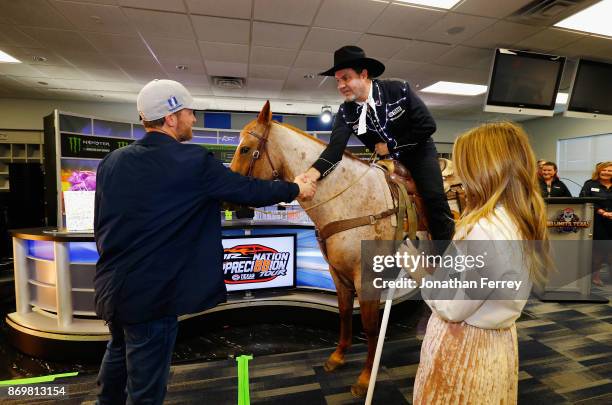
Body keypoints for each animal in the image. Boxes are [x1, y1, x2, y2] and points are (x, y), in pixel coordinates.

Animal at [230, 100, 444, 394]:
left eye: (246, 149)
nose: (227, 201)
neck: (350, 201)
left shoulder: (367, 280)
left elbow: (370, 327)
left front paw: (365, 378)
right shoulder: (337, 274)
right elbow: (344, 314)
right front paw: (338, 356)